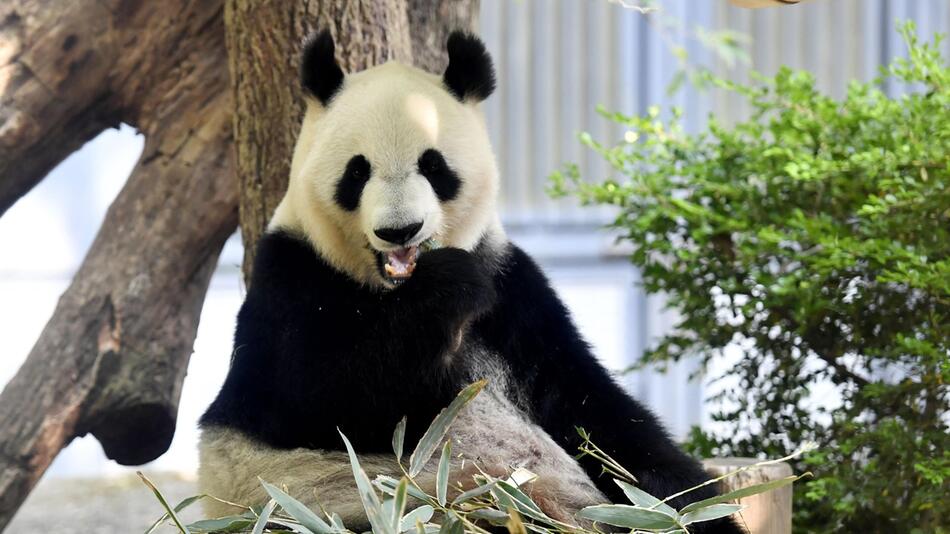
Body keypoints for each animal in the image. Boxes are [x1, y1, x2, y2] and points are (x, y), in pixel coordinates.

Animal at [199, 30, 744, 534]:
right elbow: (318, 397)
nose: (400, 229)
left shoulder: (511, 290)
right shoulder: (291, 274)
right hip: (342, 504)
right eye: (357, 172)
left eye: (433, 165)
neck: (389, 290)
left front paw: (687, 503)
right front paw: (447, 288)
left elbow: (589, 406)